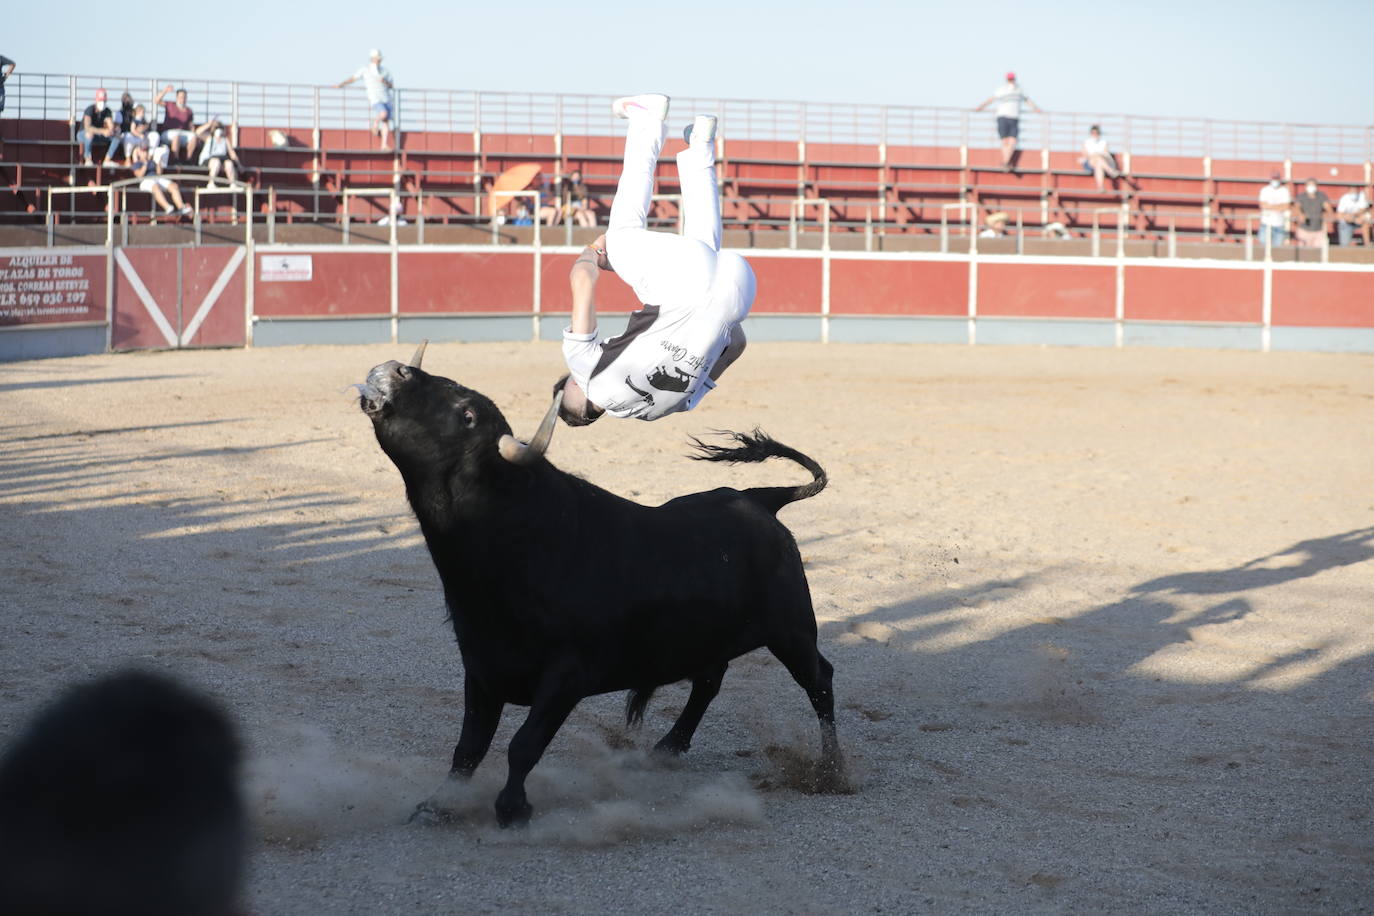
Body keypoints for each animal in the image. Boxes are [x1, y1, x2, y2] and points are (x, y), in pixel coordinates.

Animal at [359, 351, 840, 823]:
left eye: (468, 414)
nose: (397, 370)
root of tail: (759, 499)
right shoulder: (480, 668)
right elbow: (468, 748)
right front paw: (438, 805)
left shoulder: (567, 675)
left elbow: (522, 745)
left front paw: (512, 808)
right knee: (709, 679)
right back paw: (669, 747)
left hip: (792, 630)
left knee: (818, 680)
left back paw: (831, 771)